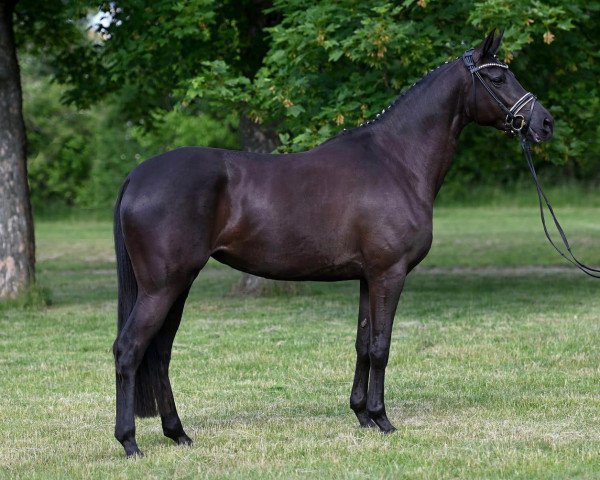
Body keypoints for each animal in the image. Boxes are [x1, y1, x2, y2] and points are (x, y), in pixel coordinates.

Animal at [111, 31, 552, 458]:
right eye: (497, 78)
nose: (545, 123)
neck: (396, 161)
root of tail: (136, 175)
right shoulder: (389, 274)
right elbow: (381, 346)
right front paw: (383, 419)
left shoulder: (367, 278)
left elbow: (362, 344)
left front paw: (362, 415)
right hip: (163, 287)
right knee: (129, 350)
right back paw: (130, 442)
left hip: (179, 285)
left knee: (160, 353)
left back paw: (178, 434)